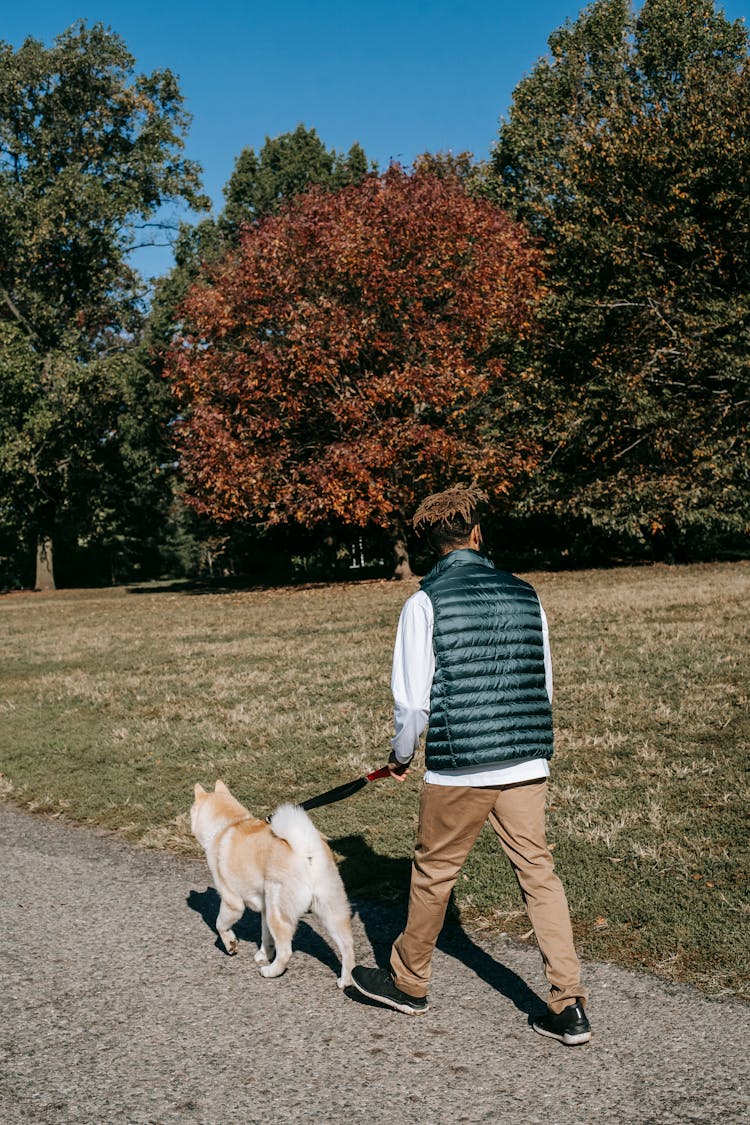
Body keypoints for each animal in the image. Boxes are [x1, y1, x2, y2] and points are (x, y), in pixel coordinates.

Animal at [191, 783, 355, 985]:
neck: (227, 825)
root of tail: (305, 850)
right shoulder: (264, 908)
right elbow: (265, 937)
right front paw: (263, 954)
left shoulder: (232, 902)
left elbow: (220, 924)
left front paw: (230, 944)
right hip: (330, 910)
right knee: (347, 946)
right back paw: (346, 980)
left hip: (278, 912)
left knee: (285, 951)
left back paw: (271, 971)